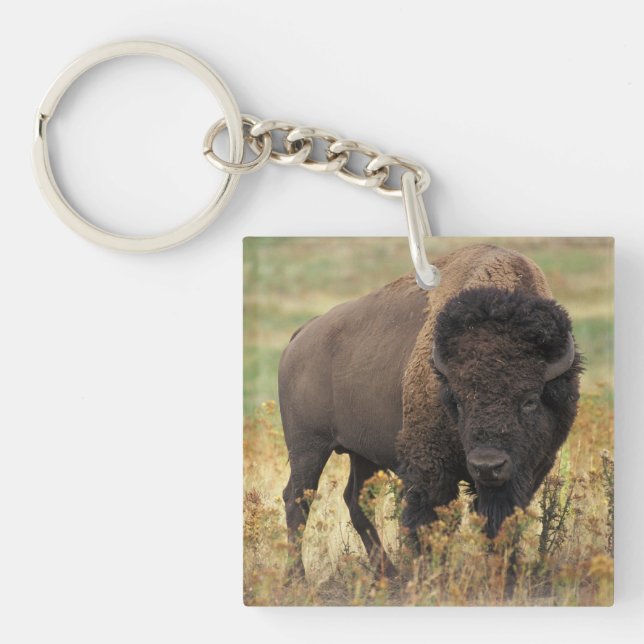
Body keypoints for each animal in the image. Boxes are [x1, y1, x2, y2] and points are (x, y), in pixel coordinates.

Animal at [278, 244, 582, 577]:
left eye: (529, 400)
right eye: (458, 400)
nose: (487, 465)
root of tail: (301, 335)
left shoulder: (530, 468)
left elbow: (501, 519)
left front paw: (505, 572)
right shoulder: (430, 468)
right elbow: (429, 521)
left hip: (361, 453)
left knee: (355, 500)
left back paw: (388, 573)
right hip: (308, 447)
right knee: (297, 500)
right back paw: (298, 577)